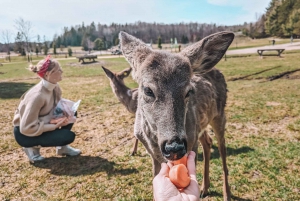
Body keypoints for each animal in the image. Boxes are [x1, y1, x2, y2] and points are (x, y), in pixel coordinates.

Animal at [119, 30, 234, 200]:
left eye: (189, 91)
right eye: (148, 90)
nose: (174, 147)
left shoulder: (191, 141)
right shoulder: (153, 153)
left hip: (218, 115)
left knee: (222, 148)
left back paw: (226, 194)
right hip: (200, 125)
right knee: (207, 142)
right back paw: (204, 188)